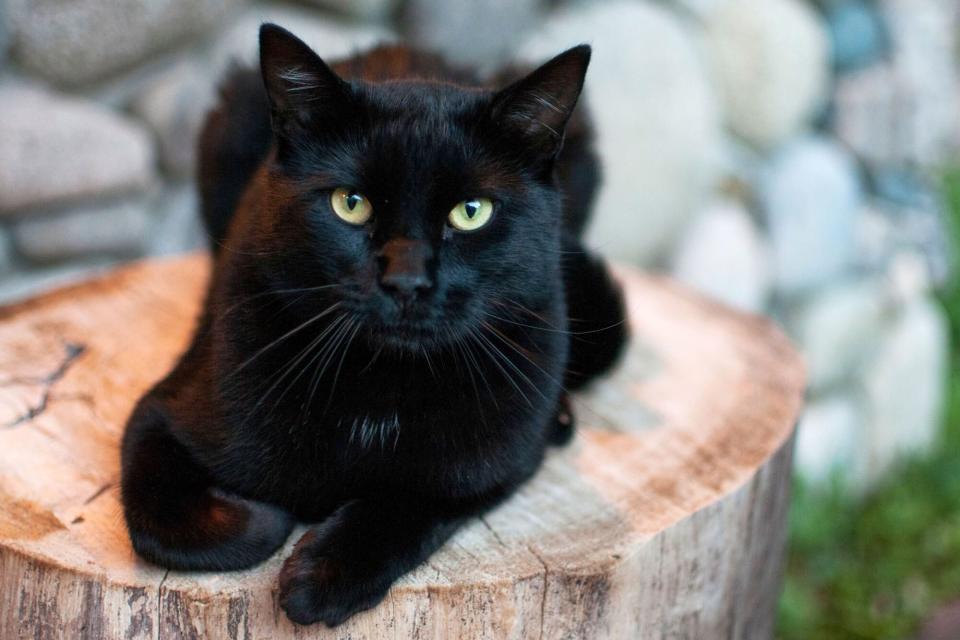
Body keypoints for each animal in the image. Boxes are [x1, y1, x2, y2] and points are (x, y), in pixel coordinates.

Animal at [120, 23, 628, 624]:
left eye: (471, 211)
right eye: (351, 203)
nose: (406, 281)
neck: (383, 385)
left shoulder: (502, 456)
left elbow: (418, 498)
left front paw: (323, 577)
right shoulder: (160, 412)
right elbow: (161, 522)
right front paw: (269, 519)